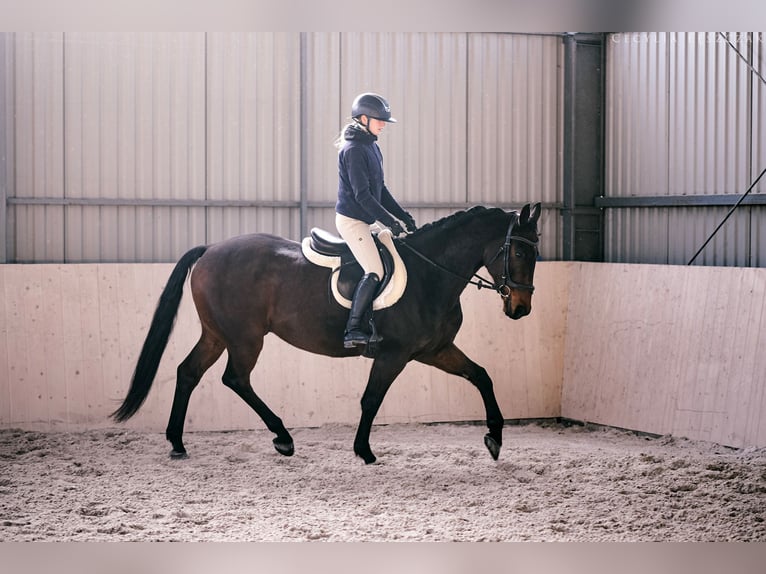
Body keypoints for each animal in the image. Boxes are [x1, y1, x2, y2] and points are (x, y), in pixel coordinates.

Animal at [111, 203, 542, 464]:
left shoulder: (435, 350)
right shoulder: (394, 355)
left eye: (536, 252)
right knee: (235, 378)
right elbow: (371, 399)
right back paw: (283, 437)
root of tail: (211, 248)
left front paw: (495, 438)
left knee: (188, 372)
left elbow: (481, 376)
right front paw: (364, 451)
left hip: (217, 335)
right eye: (519, 252)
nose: (521, 309)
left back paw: (177, 443)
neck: (430, 273)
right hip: (246, 339)